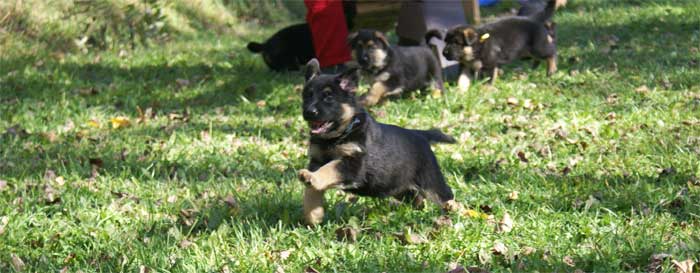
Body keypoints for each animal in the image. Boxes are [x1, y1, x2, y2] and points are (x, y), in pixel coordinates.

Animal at [298, 58, 456, 224]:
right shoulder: (316, 161)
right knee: (416, 198)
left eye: (328, 97)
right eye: (308, 96)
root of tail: (420, 135)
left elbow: (329, 168)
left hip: (430, 180)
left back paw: (454, 209)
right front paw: (313, 216)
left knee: (445, 195)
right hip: (398, 185)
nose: (308, 112)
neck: (338, 136)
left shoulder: (352, 164)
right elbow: (311, 190)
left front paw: (312, 179)